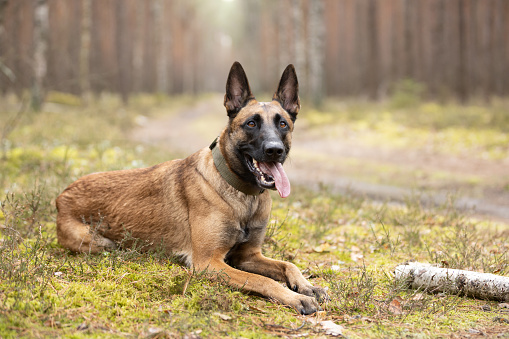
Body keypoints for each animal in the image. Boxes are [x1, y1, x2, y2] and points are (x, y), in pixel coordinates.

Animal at [54, 61, 326, 316]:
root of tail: (62, 194)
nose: (274, 150)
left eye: (283, 124)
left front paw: (306, 285)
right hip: (99, 243)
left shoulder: (248, 256)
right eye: (251, 124)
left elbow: (288, 265)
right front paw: (295, 298)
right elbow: (263, 280)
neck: (242, 195)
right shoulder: (209, 262)